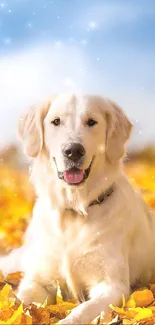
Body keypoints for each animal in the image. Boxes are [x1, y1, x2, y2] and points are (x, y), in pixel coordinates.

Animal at [1, 92, 155, 322]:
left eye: (91, 122)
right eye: (56, 121)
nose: (73, 151)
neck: (74, 210)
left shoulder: (112, 286)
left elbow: (82, 310)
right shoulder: (38, 279)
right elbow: (19, 301)